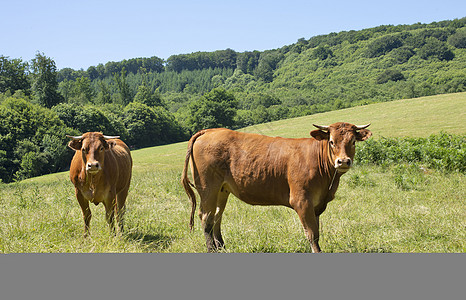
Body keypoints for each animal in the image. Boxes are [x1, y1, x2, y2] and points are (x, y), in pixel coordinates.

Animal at [181, 122, 372, 253]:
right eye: (331, 142)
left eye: (353, 141)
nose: (343, 161)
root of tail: (210, 131)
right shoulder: (302, 201)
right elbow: (311, 233)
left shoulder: (317, 204)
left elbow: (317, 232)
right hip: (208, 188)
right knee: (206, 217)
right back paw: (212, 249)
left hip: (222, 190)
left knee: (216, 217)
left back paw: (222, 247)